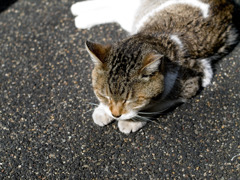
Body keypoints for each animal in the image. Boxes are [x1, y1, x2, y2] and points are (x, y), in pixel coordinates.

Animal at [70, 0, 238, 134]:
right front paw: (103, 111)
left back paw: (80, 15)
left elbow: (152, 108)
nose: (115, 114)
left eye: (130, 100)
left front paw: (130, 121)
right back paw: (79, 11)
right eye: (104, 95)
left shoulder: (191, 84)